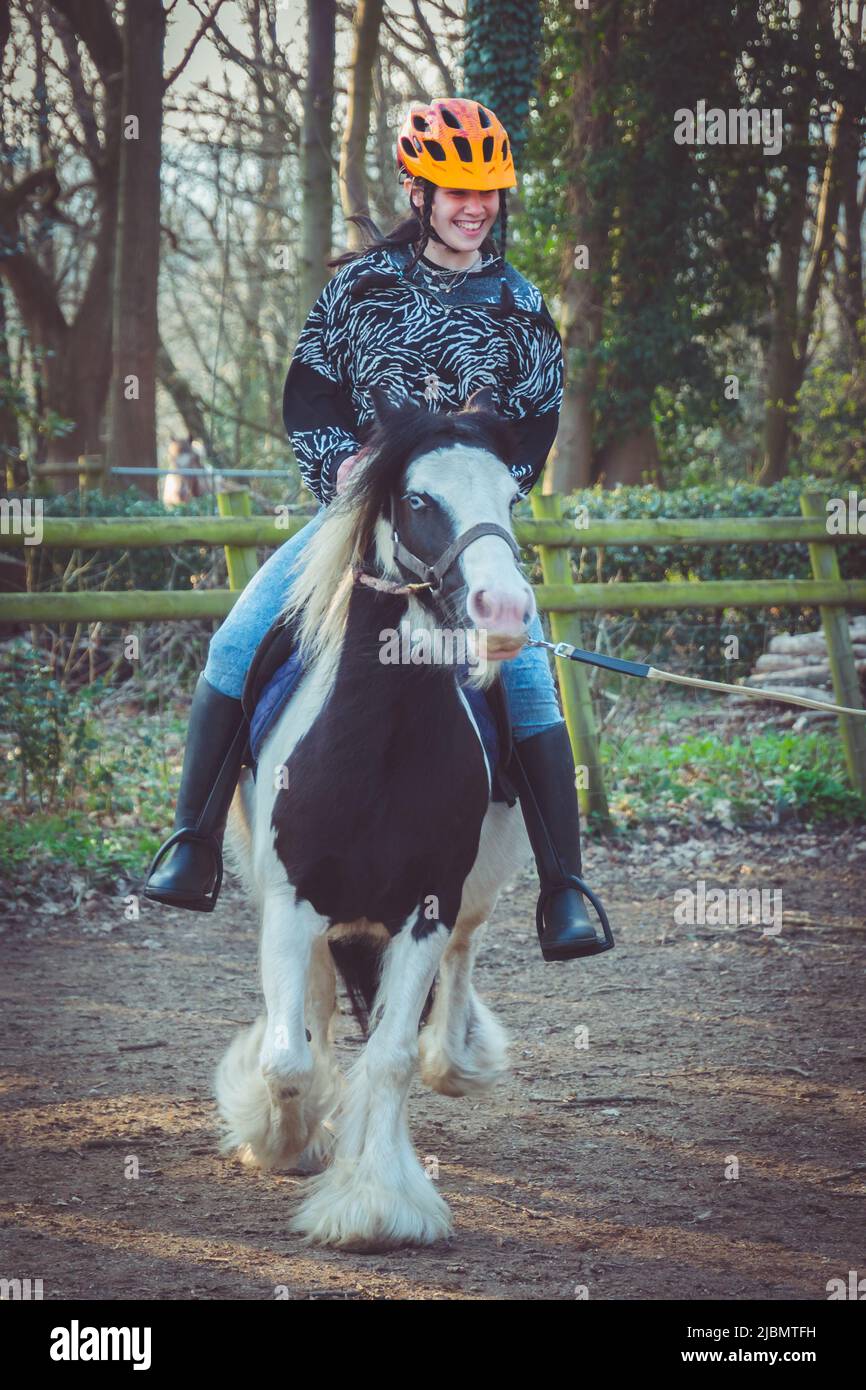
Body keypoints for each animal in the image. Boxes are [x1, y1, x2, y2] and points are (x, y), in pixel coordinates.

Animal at [215, 389, 536, 1251]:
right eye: (420, 499)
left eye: (513, 498)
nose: (503, 610)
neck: (379, 742)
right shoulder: (292, 901)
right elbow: (290, 1060)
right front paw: (284, 1140)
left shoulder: (428, 908)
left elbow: (390, 1058)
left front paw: (377, 1204)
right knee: (316, 1016)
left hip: (476, 889)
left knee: (458, 968)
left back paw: (456, 1057)